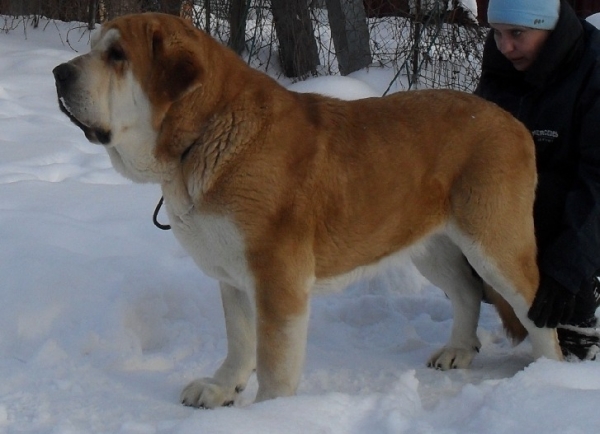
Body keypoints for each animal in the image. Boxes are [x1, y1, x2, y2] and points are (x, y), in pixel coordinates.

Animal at [52, 12, 564, 406]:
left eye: (117, 56)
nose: (59, 72)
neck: (204, 135)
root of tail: (512, 122)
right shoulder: (233, 277)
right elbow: (240, 340)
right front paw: (221, 389)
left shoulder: (277, 277)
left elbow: (275, 360)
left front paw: (271, 414)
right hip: (430, 245)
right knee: (466, 292)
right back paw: (458, 350)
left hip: (494, 243)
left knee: (532, 306)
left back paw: (550, 378)